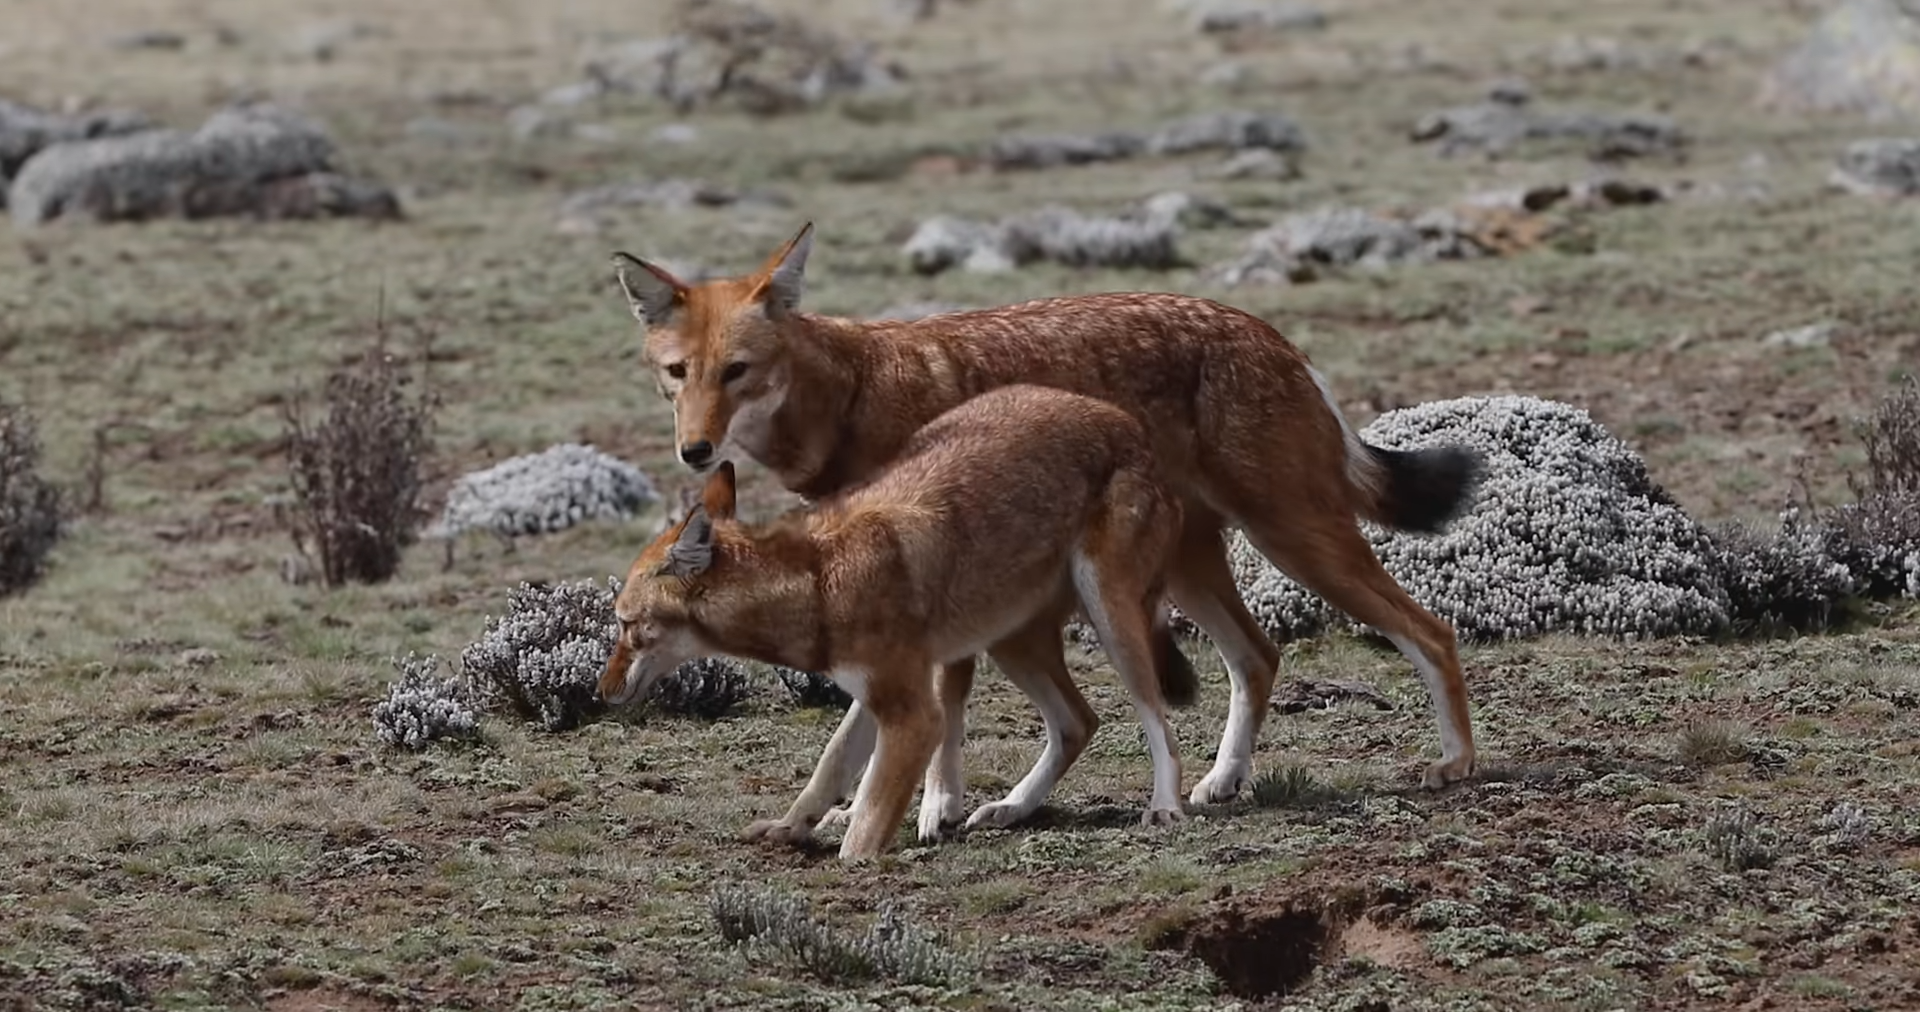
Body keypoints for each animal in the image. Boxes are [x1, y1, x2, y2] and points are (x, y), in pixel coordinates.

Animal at [597, 385, 1201, 861]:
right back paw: (1010, 808)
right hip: (1010, 642)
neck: (819, 583)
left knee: (1156, 719)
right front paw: (789, 829)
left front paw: (856, 858)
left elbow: (863, 826)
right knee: (1079, 723)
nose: (601, 691)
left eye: (627, 624)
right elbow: (830, 769)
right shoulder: (873, 697)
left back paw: (1165, 807)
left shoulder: (915, 715)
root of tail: (1127, 425)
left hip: (1110, 620)